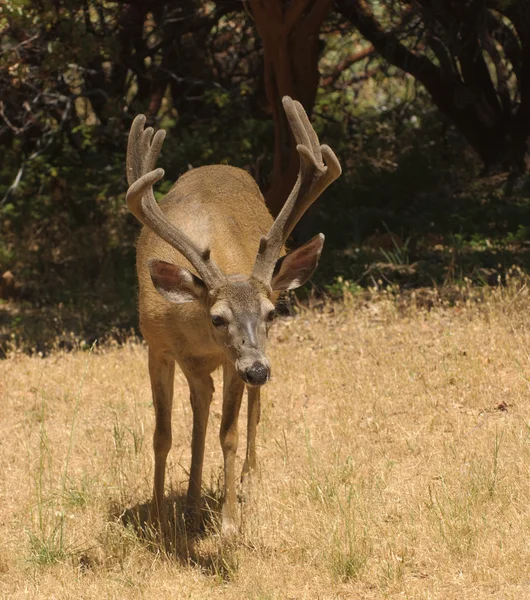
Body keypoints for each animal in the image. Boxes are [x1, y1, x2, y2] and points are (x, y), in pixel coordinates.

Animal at [126, 95, 340, 536]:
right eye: (217, 317)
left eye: (272, 313)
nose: (258, 370)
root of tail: (219, 165)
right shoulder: (157, 347)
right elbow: (162, 434)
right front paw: (157, 519)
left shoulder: (232, 361)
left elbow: (229, 433)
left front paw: (228, 522)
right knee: (199, 411)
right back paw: (191, 504)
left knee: (247, 411)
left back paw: (247, 481)